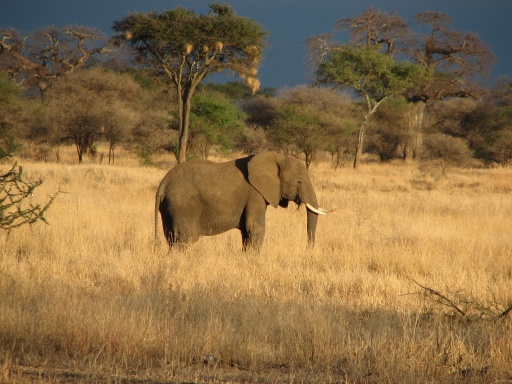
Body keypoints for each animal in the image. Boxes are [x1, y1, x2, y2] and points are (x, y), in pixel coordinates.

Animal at [155, 152, 332, 250]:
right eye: (299, 182)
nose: (308, 249)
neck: (277, 157)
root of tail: (163, 184)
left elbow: (248, 232)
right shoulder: (255, 195)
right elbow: (255, 228)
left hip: (170, 209)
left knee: (171, 239)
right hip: (183, 206)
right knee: (184, 241)